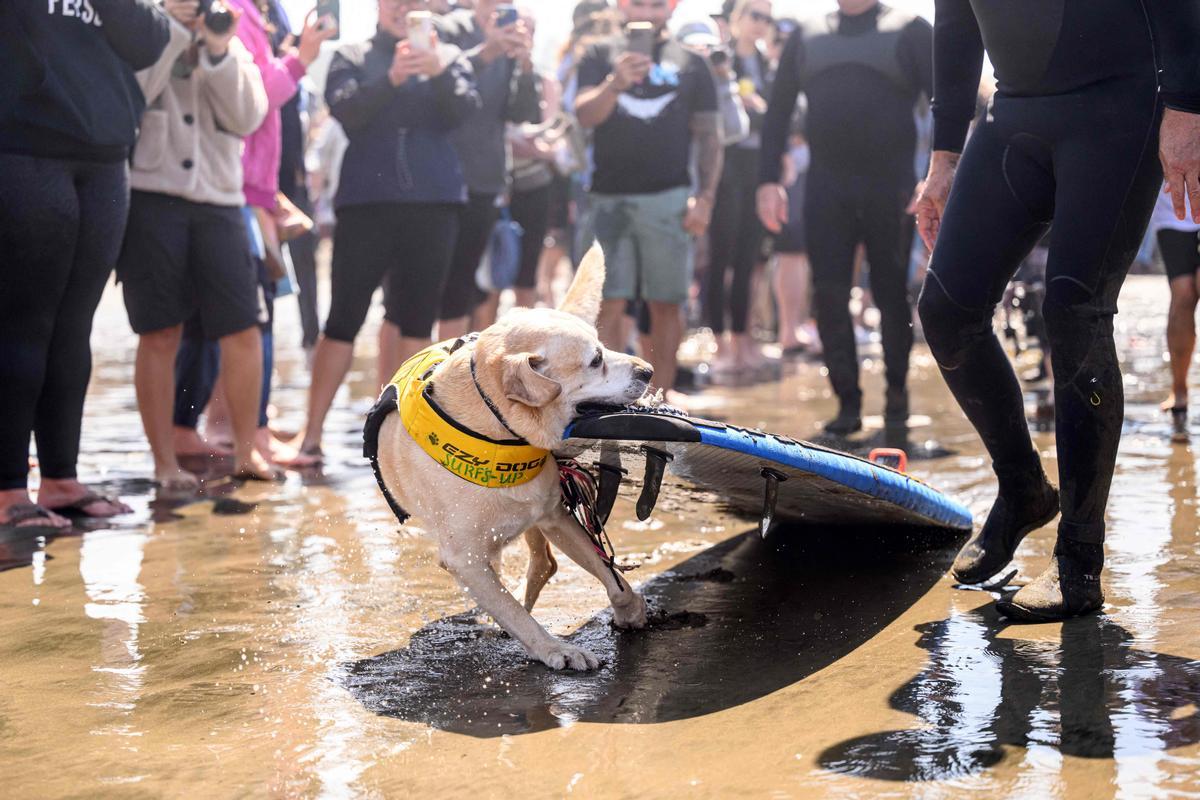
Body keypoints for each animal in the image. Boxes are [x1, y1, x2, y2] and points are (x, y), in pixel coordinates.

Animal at [376, 247, 652, 671]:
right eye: (595, 360)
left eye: (603, 347)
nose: (648, 370)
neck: (498, 435)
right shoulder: (465, 558)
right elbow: (515, 614)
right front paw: (556, 648)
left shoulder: (555, 515)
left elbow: (611, 574)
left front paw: (630, 609)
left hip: (538, 522)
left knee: (543, 564)